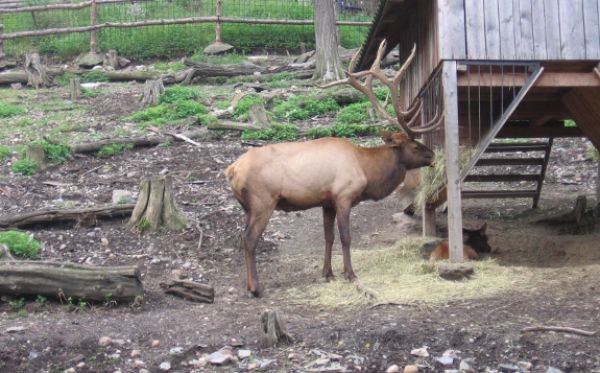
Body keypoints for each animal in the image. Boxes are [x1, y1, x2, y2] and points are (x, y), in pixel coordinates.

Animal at [227, 40, 442, 296]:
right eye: (415, 145)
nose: (433, 155)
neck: (366, 170)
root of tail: (231, 171)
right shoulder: (343, 195)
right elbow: (346, 237)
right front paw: (350, 274)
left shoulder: (326, 202)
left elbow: (328, 236)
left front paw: (327, 273)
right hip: (263, 201)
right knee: (249, 239)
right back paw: (255, 288)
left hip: (247, 207)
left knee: (243, 236)